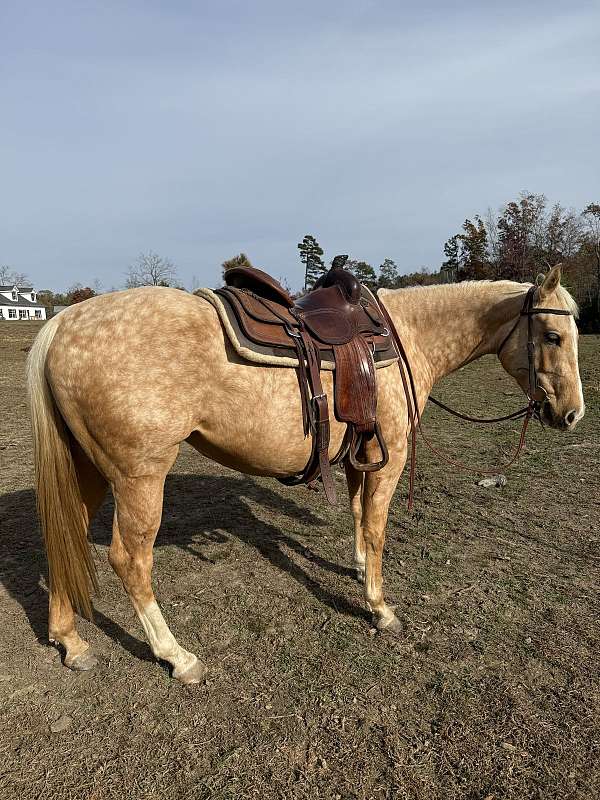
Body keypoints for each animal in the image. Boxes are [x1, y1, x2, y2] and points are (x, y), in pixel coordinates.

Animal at [26, 265, 584, 683]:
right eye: (553, 336)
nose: (573, 414)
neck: (407, 338)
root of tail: (61, 326)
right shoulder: (390, 458)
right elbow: (376, 528)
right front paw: (379, 608)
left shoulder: (361, 454)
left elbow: (358, 516)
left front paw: (358, 570)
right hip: (139, 477)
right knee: (130, 560)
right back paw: (177, 656)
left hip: (88, 469)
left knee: (63, 536)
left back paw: (71, 641)